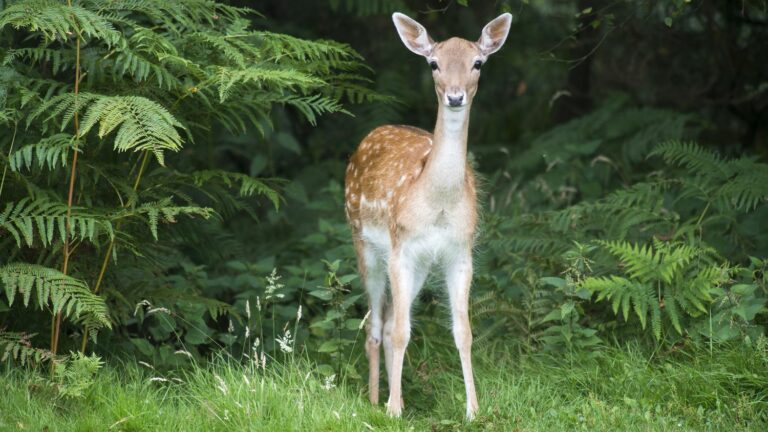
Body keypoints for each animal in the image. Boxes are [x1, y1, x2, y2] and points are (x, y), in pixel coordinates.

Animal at [342, 12, 510, 418]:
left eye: (477, 63)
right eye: (433, 63)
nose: (455, 95)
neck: (438, 203)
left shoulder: (459, 252)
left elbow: (463, 332)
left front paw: (473, 410)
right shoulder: (401, 248)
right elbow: (403, 331)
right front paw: (391, 411)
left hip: (418, 265)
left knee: (388, 323)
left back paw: (396, 396)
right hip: (364, 242)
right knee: (375, 325)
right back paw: (376, 400)